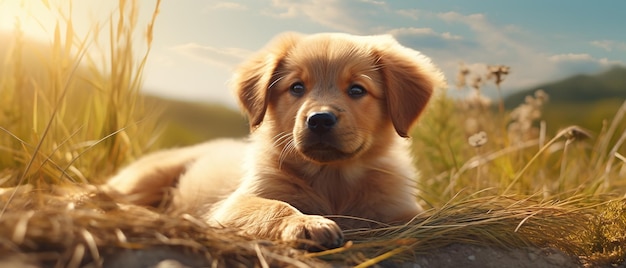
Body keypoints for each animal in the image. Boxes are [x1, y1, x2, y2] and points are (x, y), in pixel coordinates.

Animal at [106, 32, 444, 250]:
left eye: (357, 90)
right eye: (297, 87)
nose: (319, 120)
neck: (333, 179)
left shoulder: (398, 207)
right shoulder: (235, 204)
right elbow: (275, 206)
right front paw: (307, 224)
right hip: (150, 175)